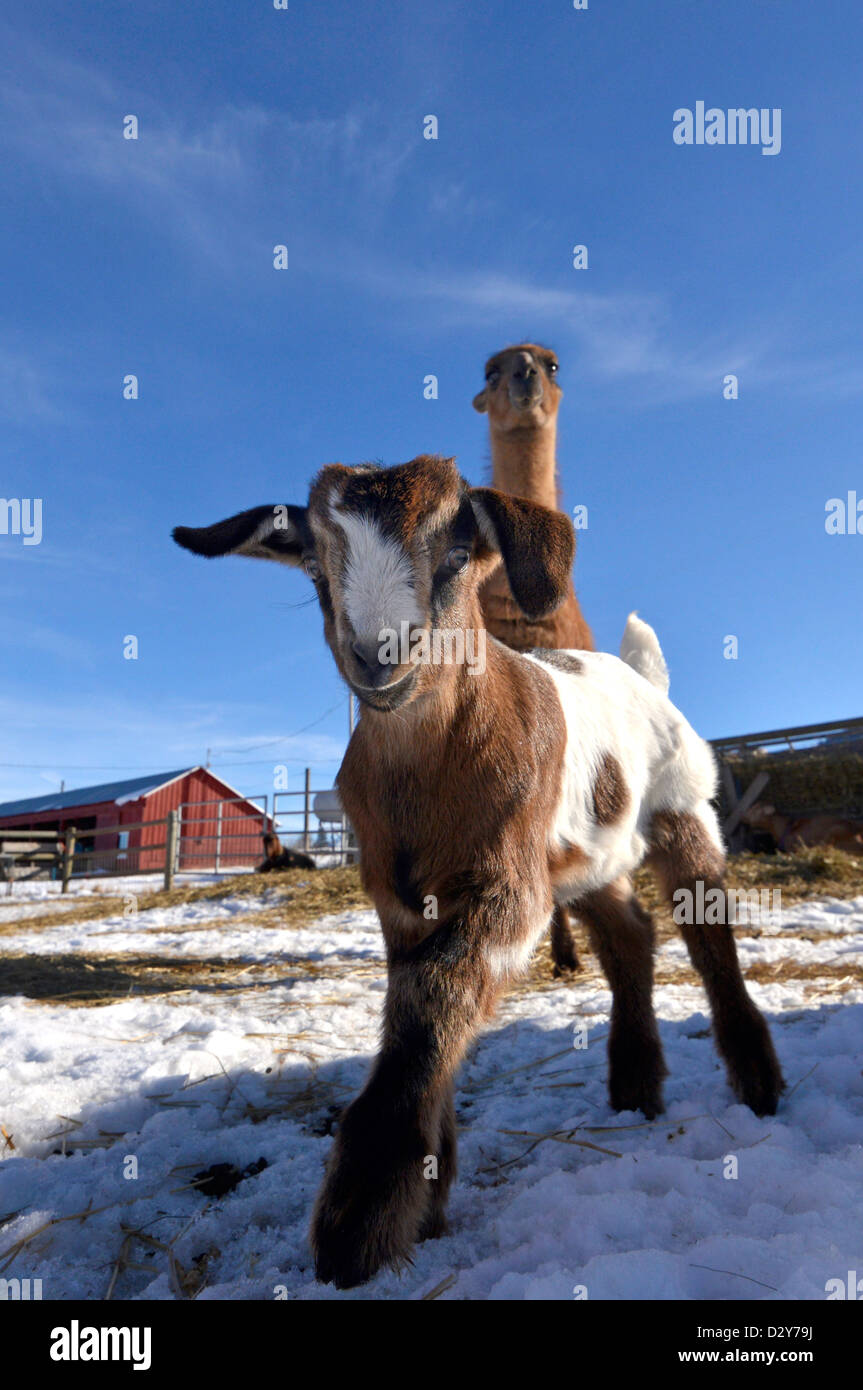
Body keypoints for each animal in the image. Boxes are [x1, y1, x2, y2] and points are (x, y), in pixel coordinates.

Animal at [173, 455, 778, 1289]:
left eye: (456, 556)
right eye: (319, 569)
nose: (379, 655)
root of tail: (641, 679)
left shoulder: (507, 884)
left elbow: (435, 1000)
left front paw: (359, 1221)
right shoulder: (400, 900)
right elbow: (424, 1006)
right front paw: (424, 1195)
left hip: (680, 804)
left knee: (706, 932)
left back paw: (757, 1084)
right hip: (586, 858)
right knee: (629, 935)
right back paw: (634, 1086)